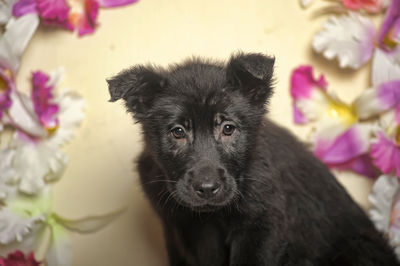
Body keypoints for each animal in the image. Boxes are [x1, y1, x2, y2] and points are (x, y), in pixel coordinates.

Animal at [107, 52, 400, 266]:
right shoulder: (178, 230)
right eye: (178, 132)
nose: (207, 189)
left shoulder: (261, 226)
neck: (211, 216)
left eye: (228, 129)